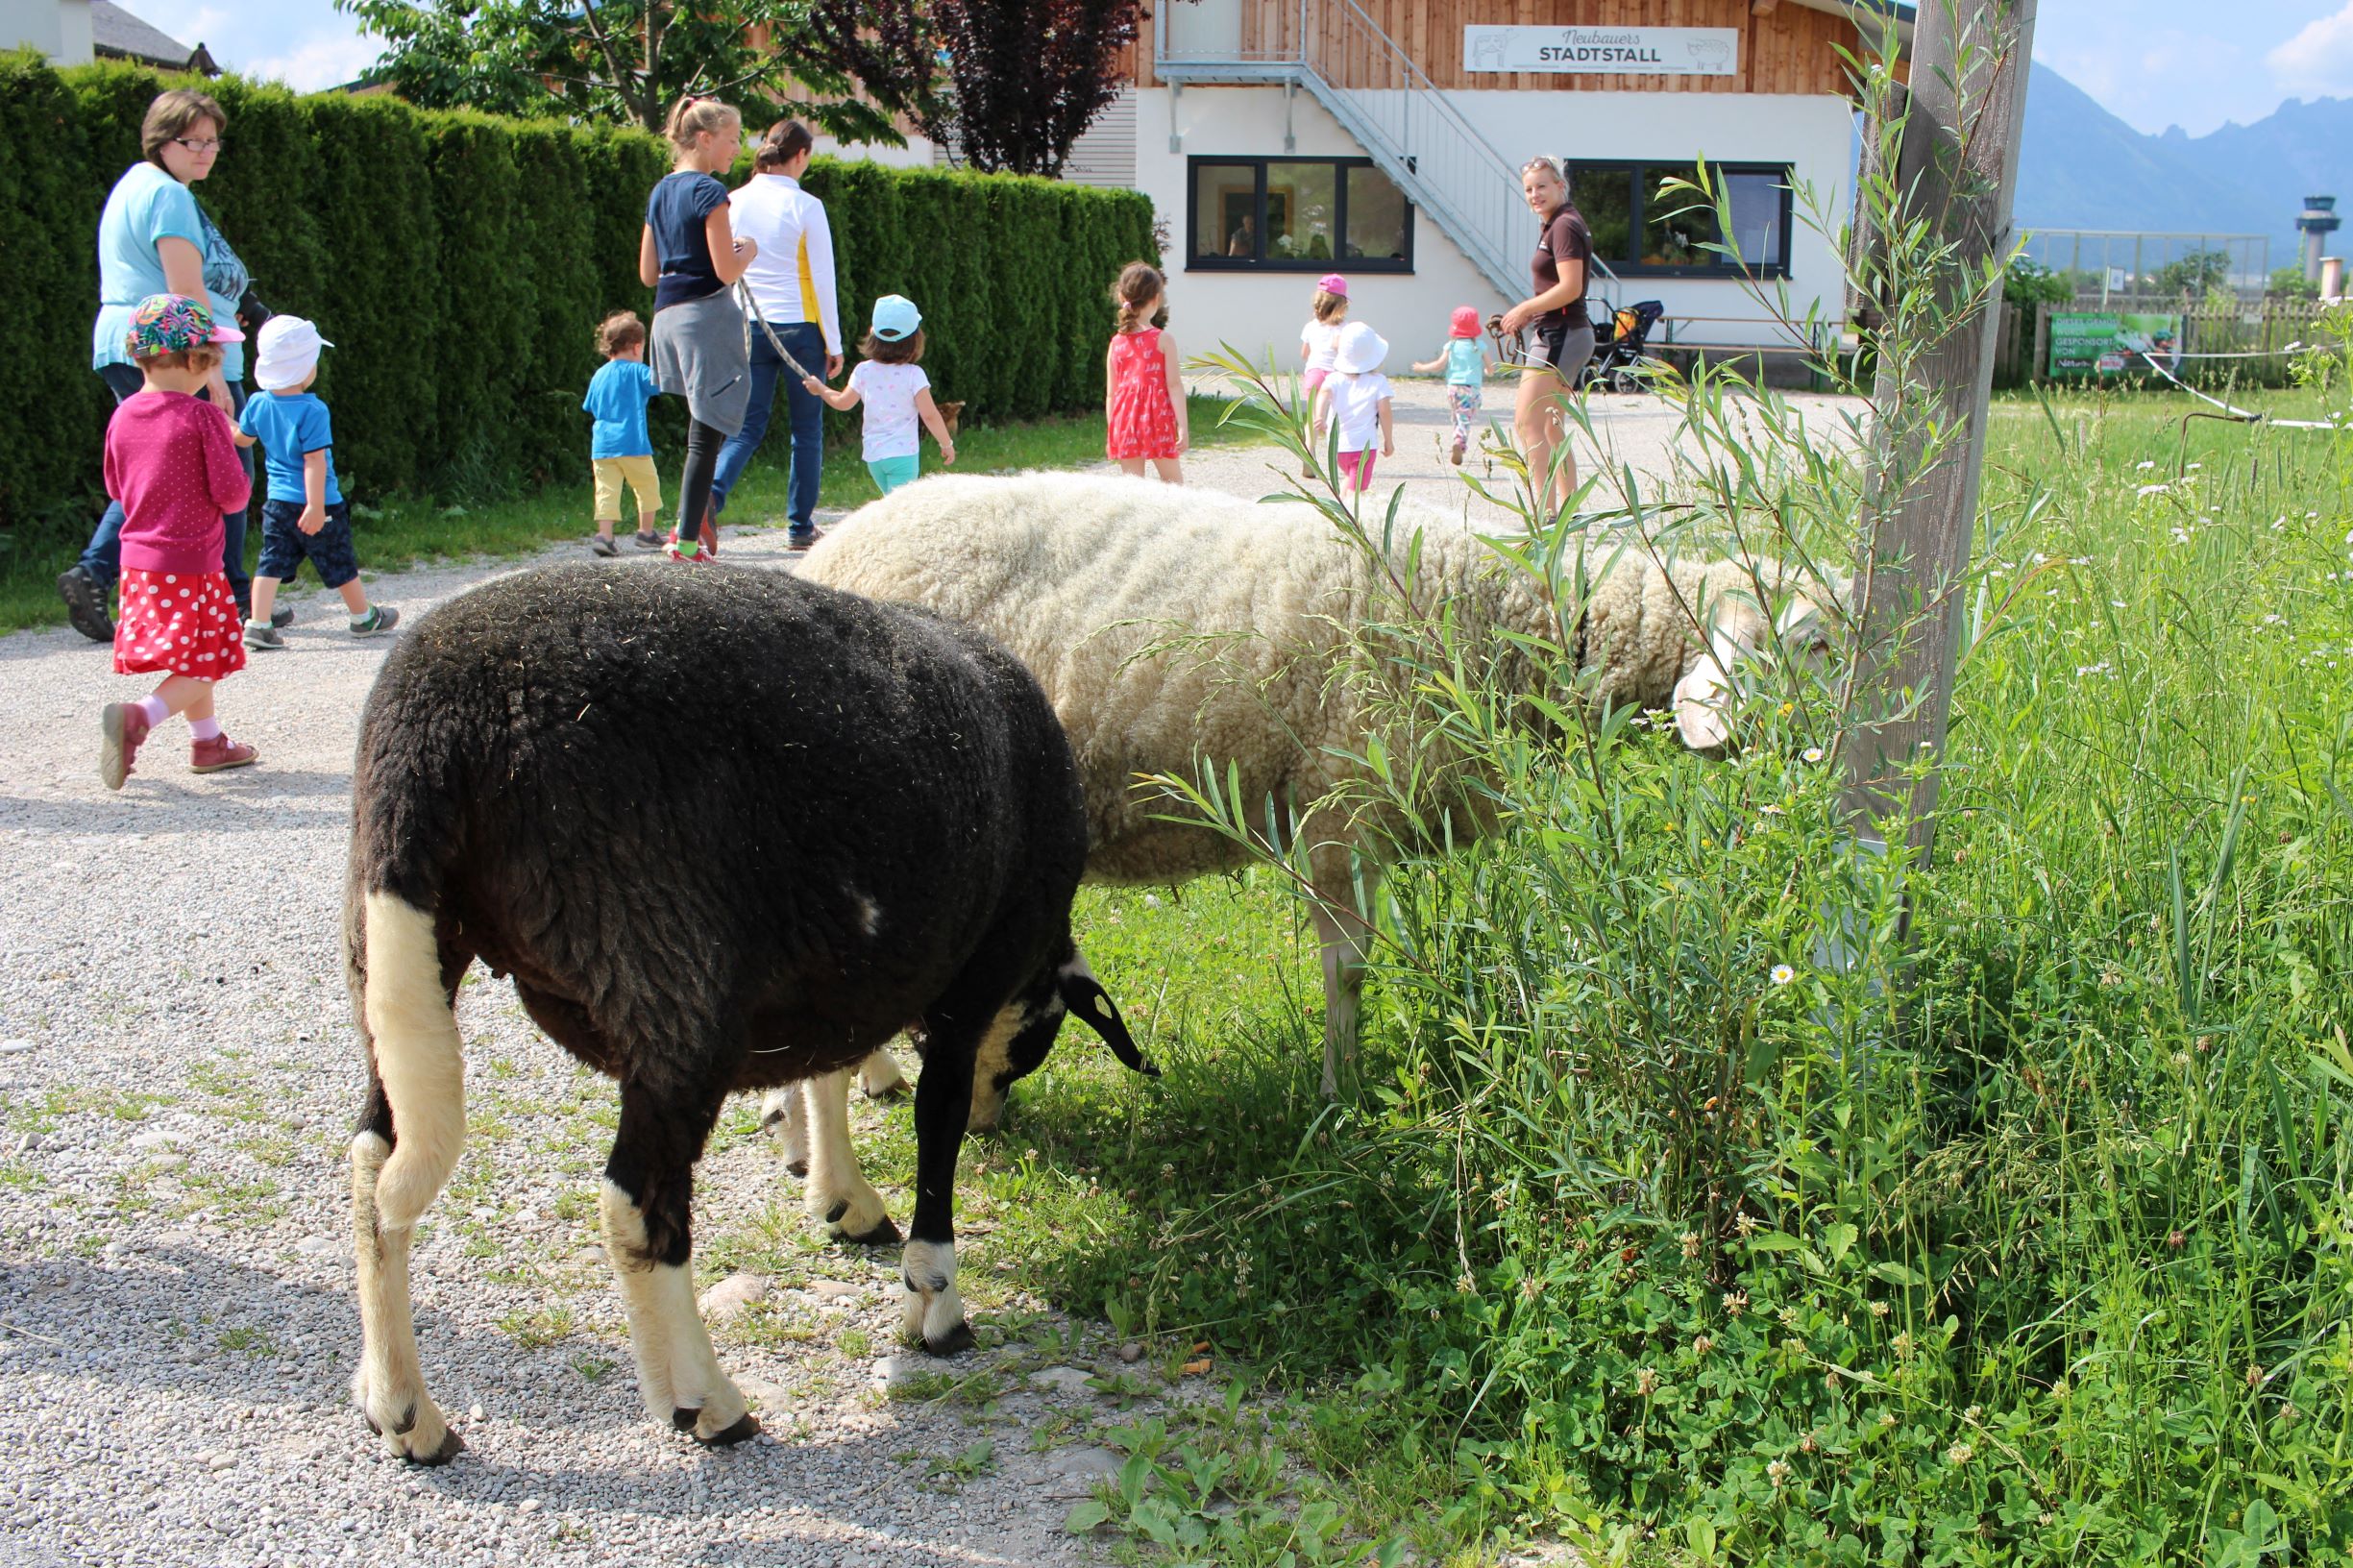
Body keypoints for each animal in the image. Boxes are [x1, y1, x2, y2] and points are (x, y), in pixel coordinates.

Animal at [343, 557, 1153, 1450]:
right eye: (1037, 1039)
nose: (994, 1127)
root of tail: (436, 719)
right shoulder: (973, 977)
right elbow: (931, 1127)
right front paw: (934, 1301)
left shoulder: (843, 971)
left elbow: (825, 1073)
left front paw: (840, 1195)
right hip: (668, 975)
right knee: (636, 1205)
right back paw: (707, 1403)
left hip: (400, 951)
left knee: (373, 1162)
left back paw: (402, 1410)